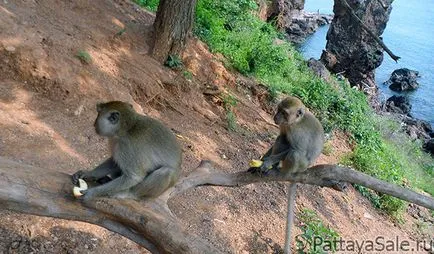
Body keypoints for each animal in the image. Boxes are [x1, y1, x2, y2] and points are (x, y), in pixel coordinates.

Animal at [249, 96, 324, 253]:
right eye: (278, 110)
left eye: (284, 112)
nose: (276, 116)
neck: (295, 122)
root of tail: (301, 171)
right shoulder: (285, 126)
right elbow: (281, 136)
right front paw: (262, 161)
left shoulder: (296, 132)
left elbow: (297, 149)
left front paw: (268, 161)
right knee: (282, 139)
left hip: (299, 166)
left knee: (295, 153)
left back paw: (282, 170)